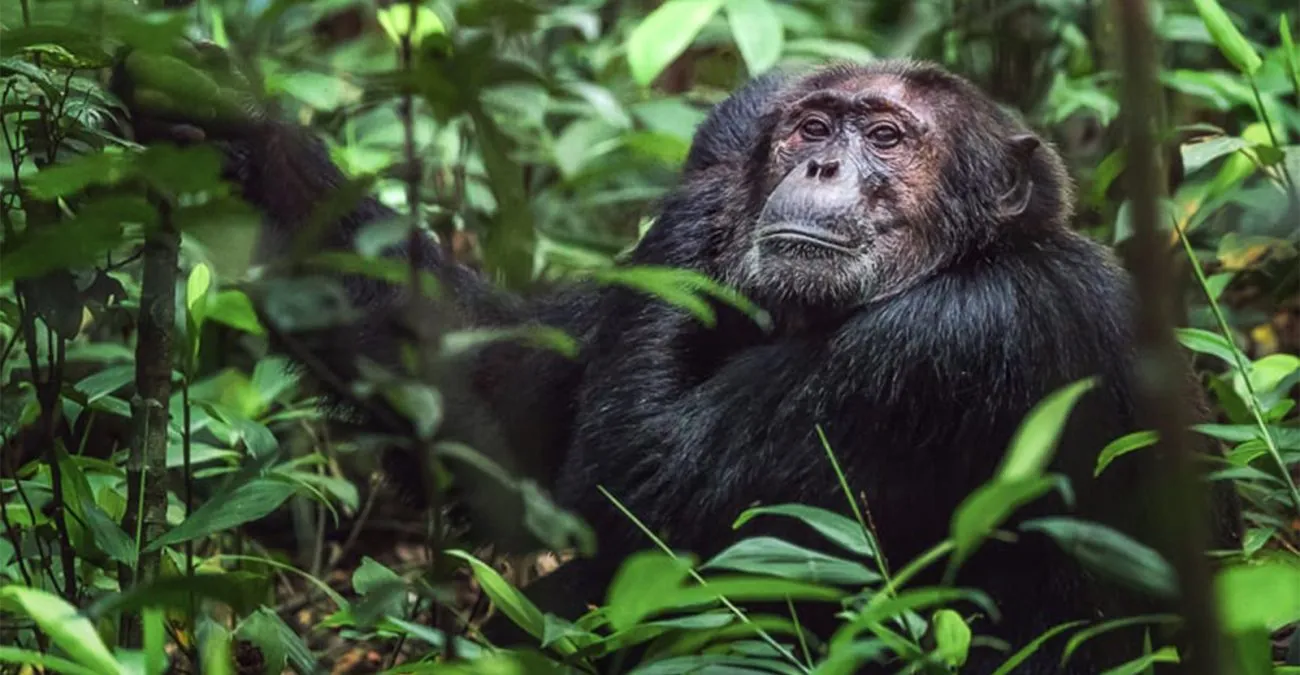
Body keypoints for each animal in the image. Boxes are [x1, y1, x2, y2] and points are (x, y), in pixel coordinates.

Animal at [115, 53, 1242, 673]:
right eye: (815, 124)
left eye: (885, 137)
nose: (813, 161)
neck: (969, 258)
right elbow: (511, 402)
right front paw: (223, 119)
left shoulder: (944, 346)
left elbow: (635, 491)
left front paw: (718, 160)